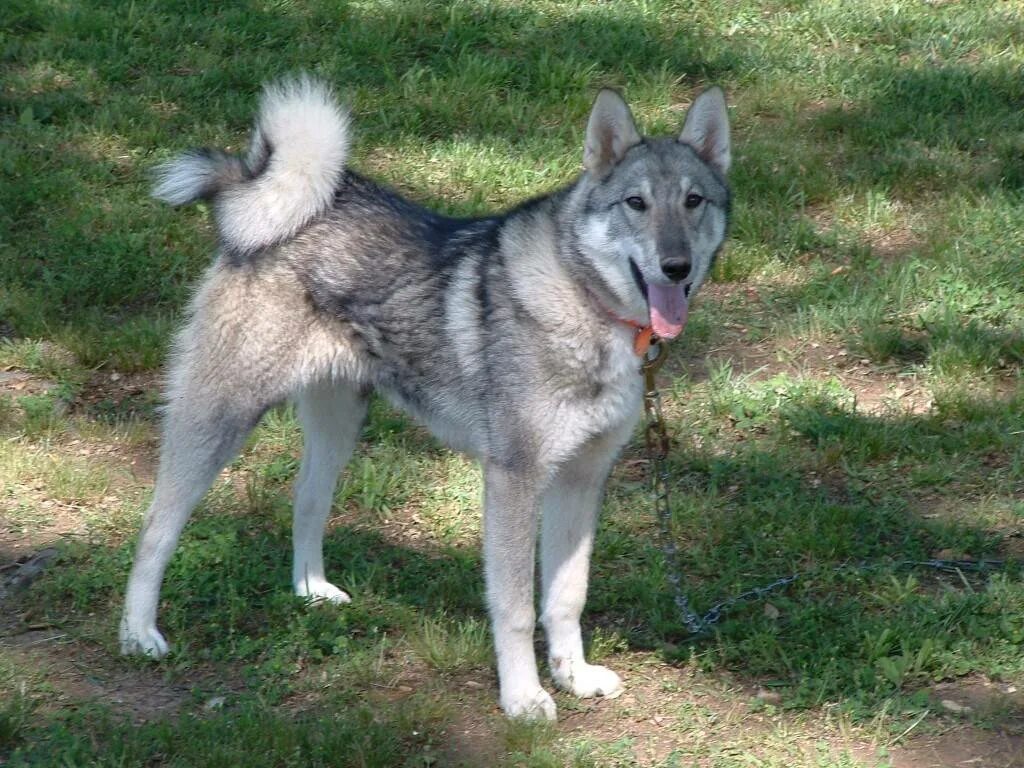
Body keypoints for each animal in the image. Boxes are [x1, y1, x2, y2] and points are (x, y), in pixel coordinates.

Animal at [121, 78, 729, 720]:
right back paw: (138, 634)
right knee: (156, 528)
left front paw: (573, 676)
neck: (584, 301)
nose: (677, 265)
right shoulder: (514, 481)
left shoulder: (581, 481)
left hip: (339, 425)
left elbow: (567, 596)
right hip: (219, 419)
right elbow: (515, 608)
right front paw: (523, 698)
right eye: (636, 203)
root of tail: (257, 191)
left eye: (694, 201)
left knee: (306, 503)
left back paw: (312, 592)